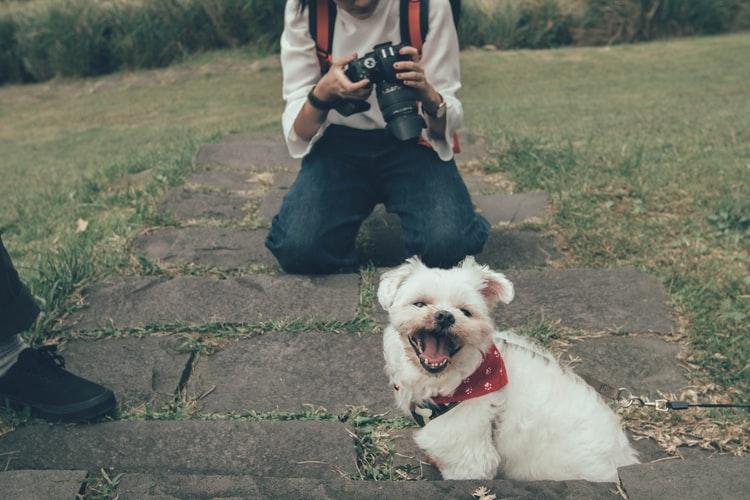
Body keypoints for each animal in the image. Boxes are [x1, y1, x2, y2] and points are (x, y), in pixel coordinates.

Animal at [382, 256, 640, 482]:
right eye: (419, 303)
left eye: (466, 312)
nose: (445, 316)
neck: (461, 379)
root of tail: (624, 458)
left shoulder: (470, 456)